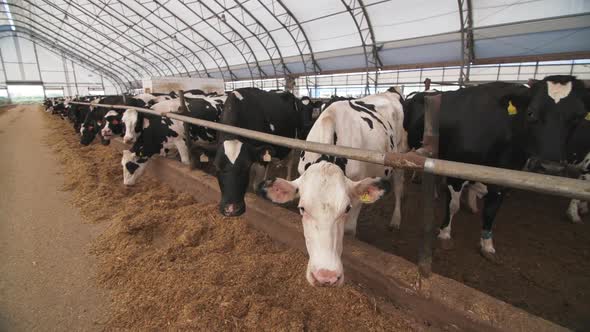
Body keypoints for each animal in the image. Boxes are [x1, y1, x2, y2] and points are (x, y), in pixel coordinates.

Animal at [215, 88, 302, 217]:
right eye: (216, 167)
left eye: (246, 167)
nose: (231, 210)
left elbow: (256, 185)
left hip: (292, 141)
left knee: (290, 163)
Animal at [256, 87, 410, 286]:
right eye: (302, 208)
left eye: (346, 208)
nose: (325, 277)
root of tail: (391, 90)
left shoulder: (356, 195)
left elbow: (350, 230)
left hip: (400, 154)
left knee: (398, 186)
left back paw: (396, 219)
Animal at [404, 76, 588, 260]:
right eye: (531, 113)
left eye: (577, 117)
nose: (551, 168)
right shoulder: (455, 172)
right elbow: (453, 205)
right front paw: (444, 234)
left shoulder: (503, 179)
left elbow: (491, 212)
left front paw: (487, 245)